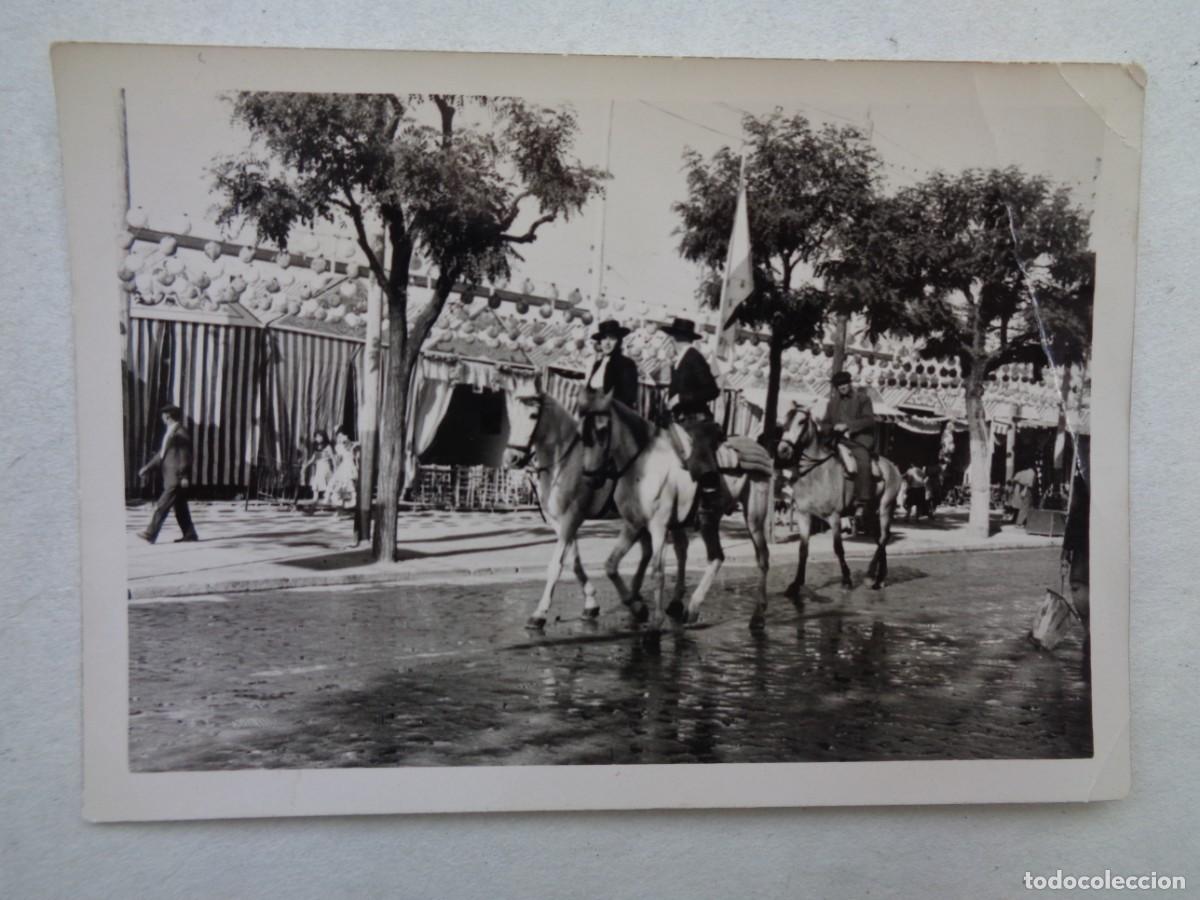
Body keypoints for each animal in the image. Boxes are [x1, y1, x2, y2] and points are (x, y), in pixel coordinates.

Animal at [777, 405, 902, 595]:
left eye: (801, 421)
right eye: (785, 420)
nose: (783, 449)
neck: (816, 474)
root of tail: (892, 466)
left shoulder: (834, 516)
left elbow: (838, 548)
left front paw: (847, 581)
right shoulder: (803, 515)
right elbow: (803, 549)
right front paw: (796, 584)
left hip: (886, 506)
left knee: (884, 537)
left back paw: (871, 576)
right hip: (870, 512)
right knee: (879, 537)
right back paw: (879, 578)